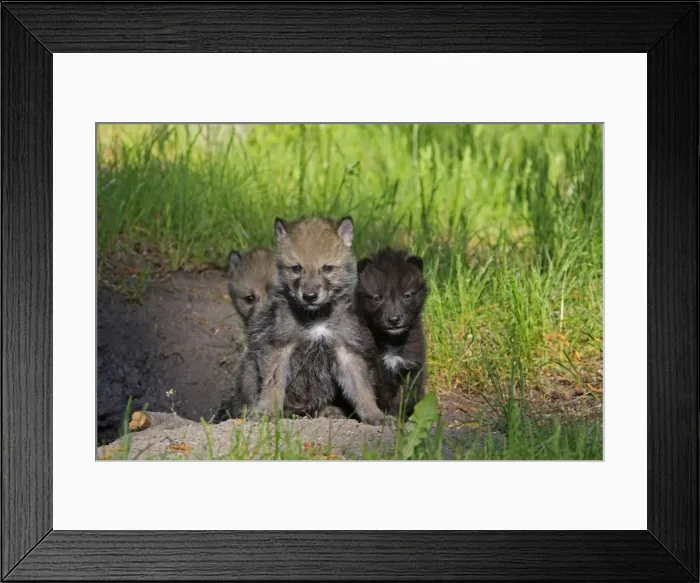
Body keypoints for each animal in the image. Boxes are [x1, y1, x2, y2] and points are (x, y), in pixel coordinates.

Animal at [241, 216, 385, 425]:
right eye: (296, 268)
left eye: (327, 268)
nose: (309, 296)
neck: (316, 318)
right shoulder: (279, 347)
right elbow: (272, 386)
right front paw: (265, 411)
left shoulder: (345, 351)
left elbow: (362, 388)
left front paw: (374, 415)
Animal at [356, 248, 429, 418]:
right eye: (377, 298)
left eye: (407, 295)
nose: (394, 319)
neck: (392, 342)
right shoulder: (372, 366)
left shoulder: (412, 366)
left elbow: (405, 395)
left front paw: (398, 415)